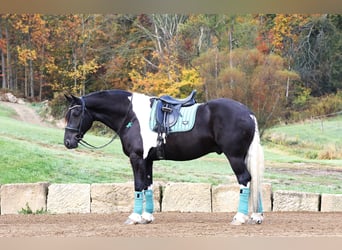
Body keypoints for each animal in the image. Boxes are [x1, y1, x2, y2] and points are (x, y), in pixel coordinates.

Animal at [63, 89, 264, 225]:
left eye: (76, 113)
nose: (68, 141)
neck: (131, 116)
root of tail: (248, 113)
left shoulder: (137, 158)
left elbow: (138, 186)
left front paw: (134, 217)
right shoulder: (148, 161)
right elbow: (148, 186)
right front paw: (147, 217)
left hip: (235, 157)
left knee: (245, 180)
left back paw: (239, 217)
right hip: (243, 157)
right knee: (254, 181)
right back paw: (256, 216)